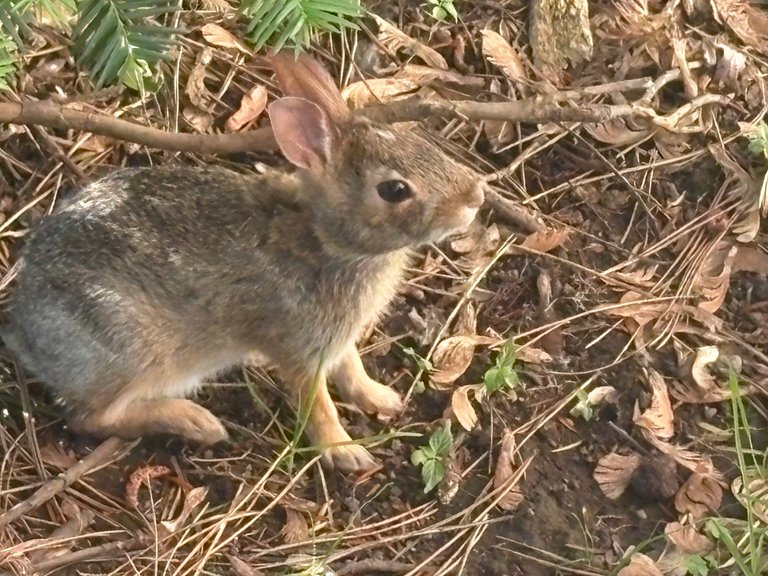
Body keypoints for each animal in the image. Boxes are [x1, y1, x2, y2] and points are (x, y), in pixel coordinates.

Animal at [1, 53, 485, 472]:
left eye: (415, 138)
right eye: (394, 190)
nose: (475, 198)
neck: (324, 240)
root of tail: (24, 328)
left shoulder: (337, 340)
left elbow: (352, 370)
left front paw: (382, 398)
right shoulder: (300, 349)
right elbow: (318, 405)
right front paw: (345, 452)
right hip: (132, 355)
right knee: (91, 419)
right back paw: (196, 422)